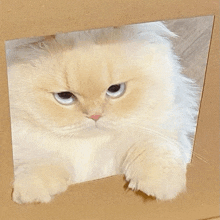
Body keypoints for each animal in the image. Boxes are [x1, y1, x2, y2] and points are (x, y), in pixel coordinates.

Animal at [5, 21, 199, 204]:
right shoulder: (29, 145)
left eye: (115, 89)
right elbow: (39, 160)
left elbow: (154, 148)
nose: (94, 115)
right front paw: (32, 194)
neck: (91, 145)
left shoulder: (158, 132)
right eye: (64, 96)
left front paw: (163, 186)